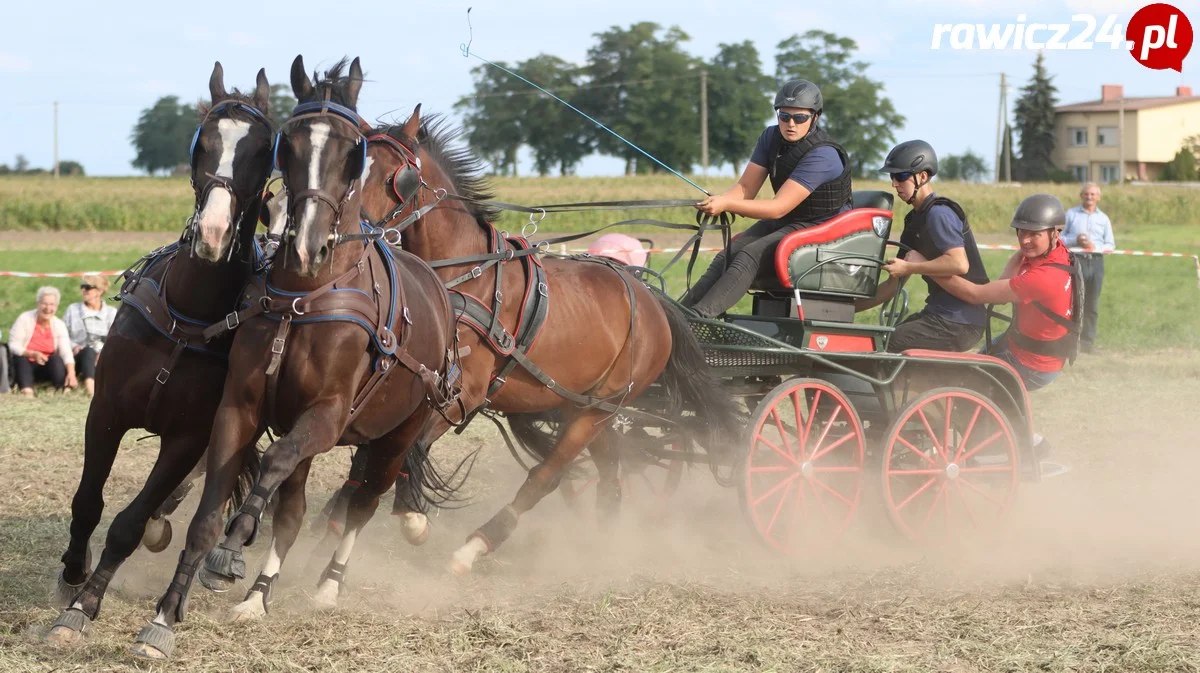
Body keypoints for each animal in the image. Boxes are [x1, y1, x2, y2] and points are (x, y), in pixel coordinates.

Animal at [42, 62, 276, 647]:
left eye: (263, 150)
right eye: (204, 141)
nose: (213, 233)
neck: (186, 317)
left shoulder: (188, 436)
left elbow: (128, 521)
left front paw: (85, 606)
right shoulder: (105, 410)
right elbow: (88, 502)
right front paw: (72, 576)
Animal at [129, 55, 460, 657]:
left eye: (351, 149)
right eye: (289, 145)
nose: (306, 243)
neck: (301, 298)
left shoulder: (326, 418)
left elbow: (275, 467)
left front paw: (235, 541)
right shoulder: (240, 409)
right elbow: (214, 510)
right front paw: (165, 614)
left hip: (399, 432)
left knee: (364, 500)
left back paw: (329, 583)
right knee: (294, 508)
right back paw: (259, 595)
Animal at [338, 103, 744, 571]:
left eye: (396, 177)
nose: (354, 234)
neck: (465, 277)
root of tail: (653, 300)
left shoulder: (463, 393)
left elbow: (410, 448)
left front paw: (411, 518)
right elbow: (373, 454)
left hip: (596, 411)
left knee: (546, 476)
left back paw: (476, 546)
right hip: (585, 406)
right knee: (610, 470)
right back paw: (605, 543)